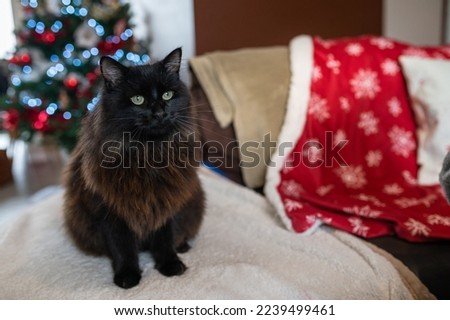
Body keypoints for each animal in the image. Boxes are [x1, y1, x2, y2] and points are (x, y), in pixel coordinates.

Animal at [62, 48, 204, 290]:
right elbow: (123, 248)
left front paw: (170, 265)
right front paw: (127, 276)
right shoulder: (111, 211)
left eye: (167, 95)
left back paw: (183, 246)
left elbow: (165, 239)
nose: (159, 113)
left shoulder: (166, 201)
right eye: (138, 100)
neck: (149, 154)